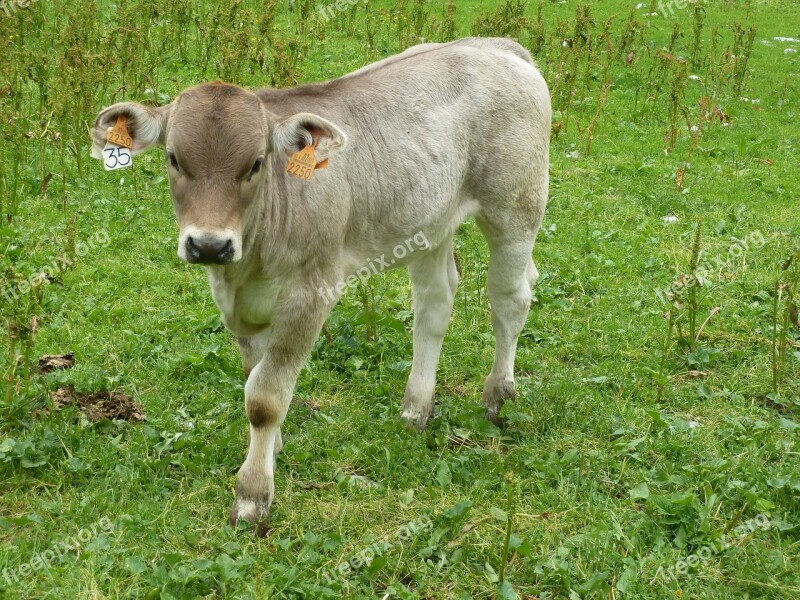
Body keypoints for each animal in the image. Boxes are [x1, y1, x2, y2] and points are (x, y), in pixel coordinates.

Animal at [89, 38, 552, 536]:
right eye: (174, 159)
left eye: (255, 164)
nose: (209, 245)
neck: (249, 263)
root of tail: (494, 45)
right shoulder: (240, 306)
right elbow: (254, 375)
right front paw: (271, 451)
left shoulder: (310, 293)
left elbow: (265, 397)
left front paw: (252, 496)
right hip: (430, 219)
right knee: (434, 304)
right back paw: (416, 408)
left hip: (517, 206)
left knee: (510, 299)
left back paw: (498, 396)